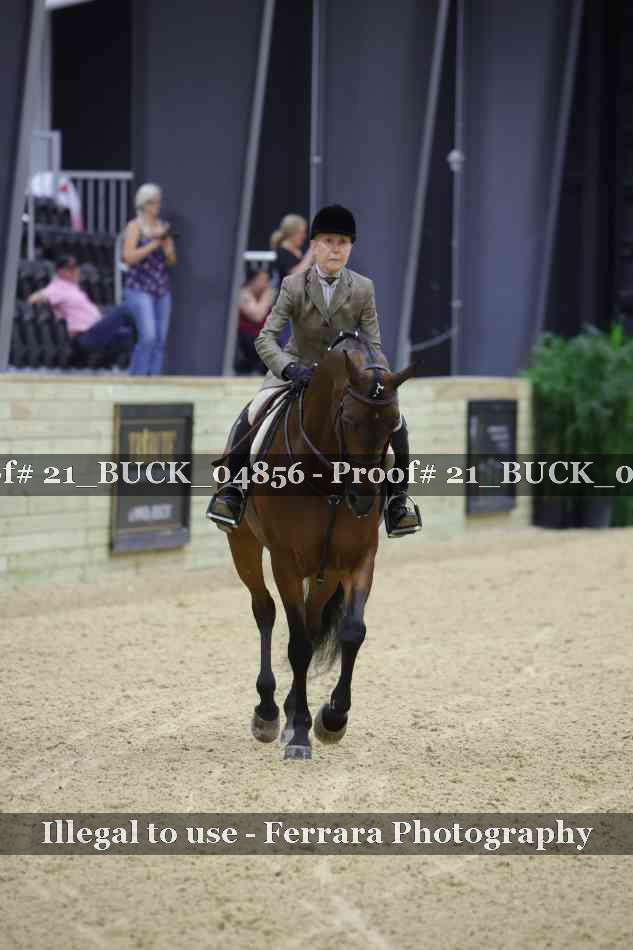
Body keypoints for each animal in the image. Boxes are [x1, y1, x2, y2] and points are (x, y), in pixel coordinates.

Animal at [222, 332, 416, 760]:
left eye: (392, 426)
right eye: (348, 420)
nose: (363, 499)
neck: (327, 478)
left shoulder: (359, 559)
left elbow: (351, 632)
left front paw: (331, 719)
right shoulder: (285, 563)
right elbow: (296, 645)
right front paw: (297, 734)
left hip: (327, 573)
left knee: (311, 624)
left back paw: (295, 710)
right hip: (244, 544)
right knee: (265, 610)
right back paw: (268, 712)